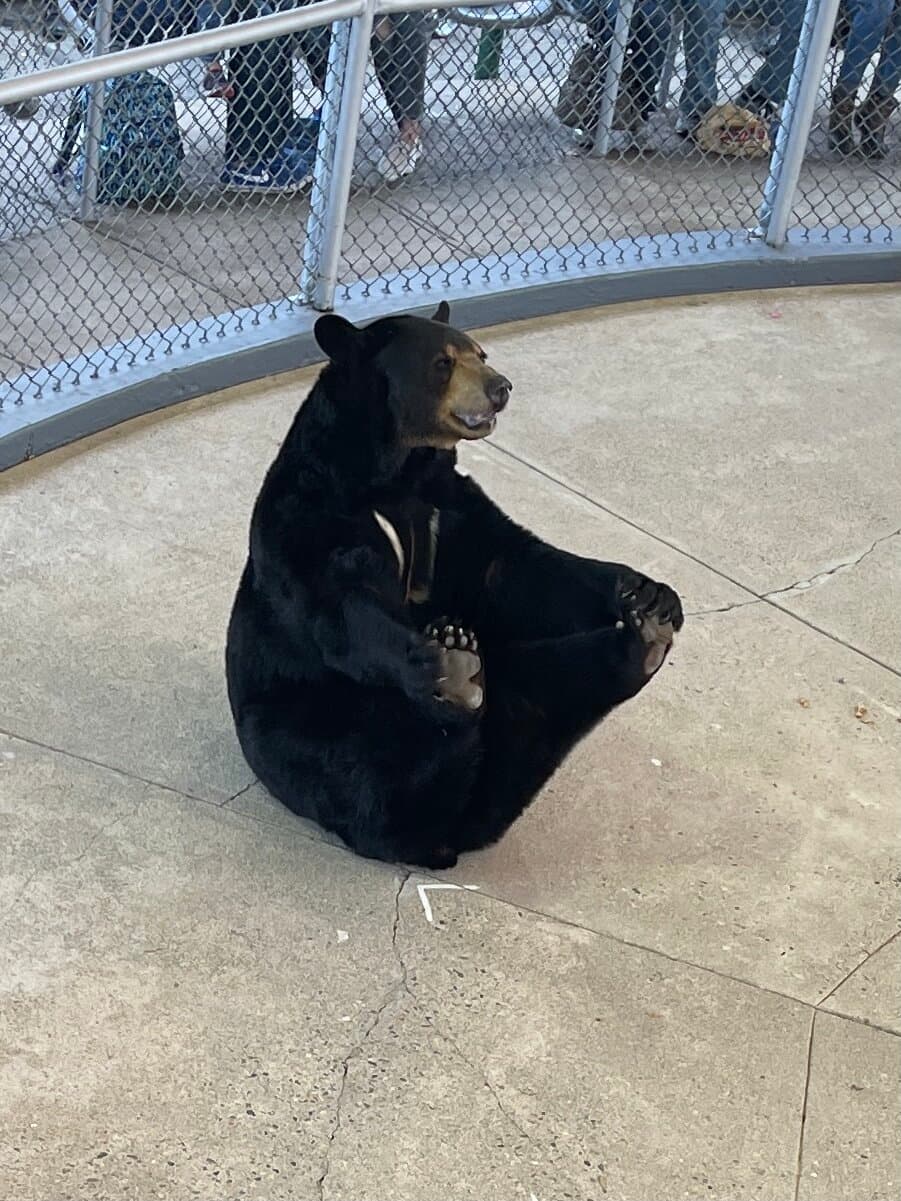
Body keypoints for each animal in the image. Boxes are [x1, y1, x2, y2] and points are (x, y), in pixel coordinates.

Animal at [225, 303, 683, 870]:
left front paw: (647, 592)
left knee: (552, 690)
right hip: (312, 731)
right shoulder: (308, 511)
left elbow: (518, 569)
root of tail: (454, 836)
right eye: (442, 363)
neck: (395, 470)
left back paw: (642, 641)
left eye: (480, 353)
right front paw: (434, 659)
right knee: (372, 781)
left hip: (518, 693)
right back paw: (458, 678)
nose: (500, 387)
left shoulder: (451, 510)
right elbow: (339, 605)